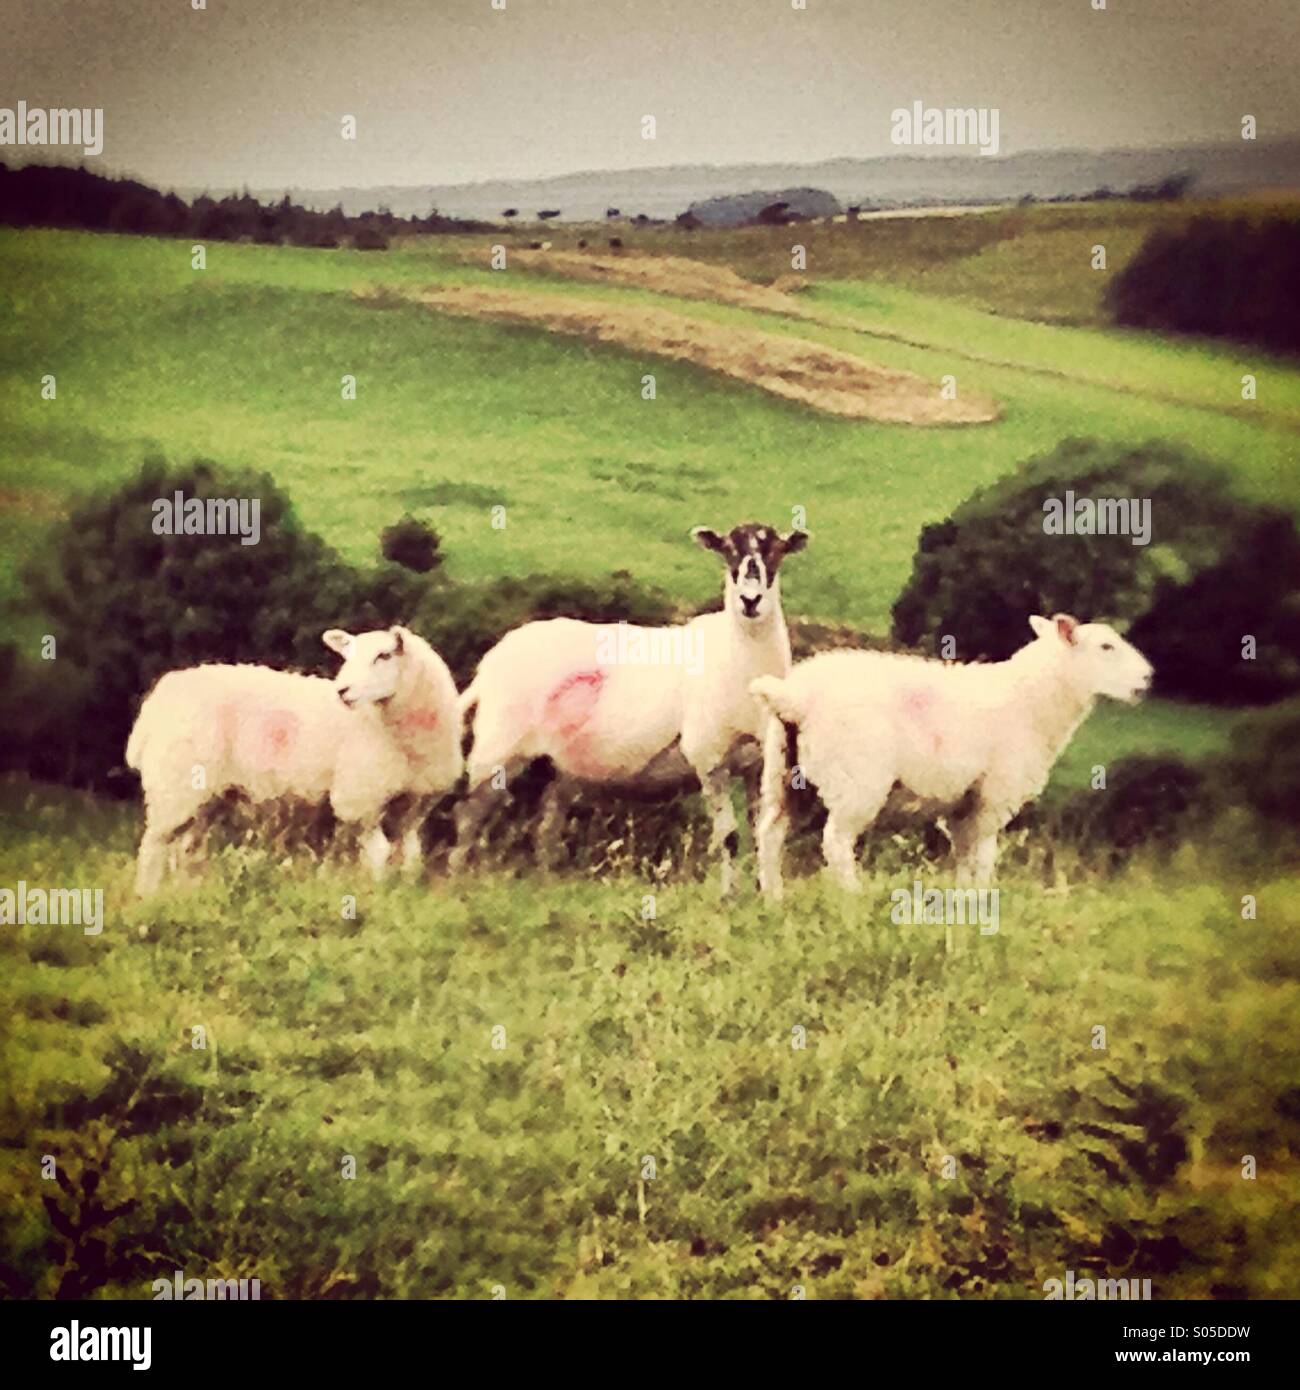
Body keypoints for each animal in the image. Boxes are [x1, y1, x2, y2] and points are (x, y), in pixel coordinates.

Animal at [126, 626, 462, 895]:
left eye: (384, 655)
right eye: (347, 657)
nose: (342, 691)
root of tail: (161, 695)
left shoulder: (416, 805)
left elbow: (411, 856)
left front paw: (405, 892)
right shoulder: (360, 798)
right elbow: (380, 854)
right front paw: (378, 894)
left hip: (207, 795)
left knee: (187, 849)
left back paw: (186, 893)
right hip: (175, 783)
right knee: (154, 845)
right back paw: (148, 898)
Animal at [450, 523, 810, 891]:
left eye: (777, 553)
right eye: (727, 552)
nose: (750, 601)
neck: (739, 656)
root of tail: (488, 665)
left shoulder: (761, 765)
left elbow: (764, 835)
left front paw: (766, 892)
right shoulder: (709, 759)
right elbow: (729, 837)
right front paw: (728, 895)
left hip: (557, 767)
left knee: (545, 828)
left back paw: (546, 880)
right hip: (498, 751)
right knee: (467, 814)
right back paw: (454, 878)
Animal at [750, 614, 1153, 898]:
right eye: (1106, 647)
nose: (1148, 678)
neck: (1031, 701)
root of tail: (794, 697)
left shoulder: (963, 804)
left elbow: (963, 856)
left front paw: (964, 899)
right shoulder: (994, 796)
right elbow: (985, 855)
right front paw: (982, 898)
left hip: (783, 773)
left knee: (770, 833)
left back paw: (774, 899)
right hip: (856, 779)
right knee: (836, 842)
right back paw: (853, 896)